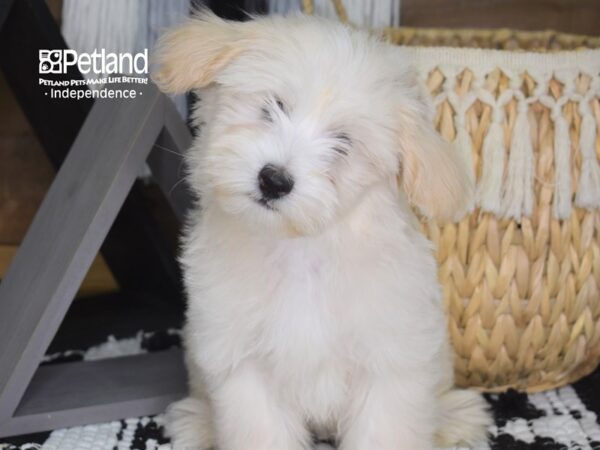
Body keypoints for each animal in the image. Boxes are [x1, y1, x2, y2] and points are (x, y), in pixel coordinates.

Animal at [152, 11, 490, 450]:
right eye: (273, 106)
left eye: (343, 143)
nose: (274, 180)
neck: (301, 249)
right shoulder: (242, 360)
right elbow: (260, 430)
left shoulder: (390, 360)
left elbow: (385, 429)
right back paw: (199, 422)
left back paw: (455, 419)